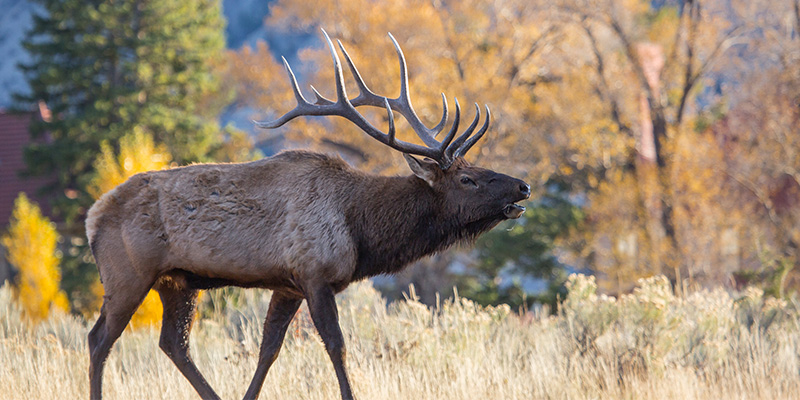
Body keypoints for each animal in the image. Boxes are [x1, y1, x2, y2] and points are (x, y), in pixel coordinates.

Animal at [85, 29, 530, 400]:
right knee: (99, 339)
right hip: (127, 274)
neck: (361, 229)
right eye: (468, 179)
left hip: (177, 281)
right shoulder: (315, 274)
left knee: (173, 343)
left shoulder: (288, 285)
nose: (523, 186)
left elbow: (268, 349)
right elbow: (337, 346)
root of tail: (92, 216)